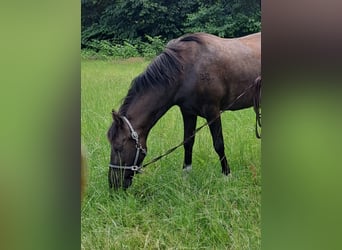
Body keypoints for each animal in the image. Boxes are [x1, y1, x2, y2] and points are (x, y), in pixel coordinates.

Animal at [108, 32, 260, 189]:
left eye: (118, 147)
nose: (114, 183)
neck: (187, 70)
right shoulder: (188, 112)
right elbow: (188, 142)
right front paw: (186, 176)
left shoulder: (213, 112)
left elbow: (219, 144)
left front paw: (226, 175)